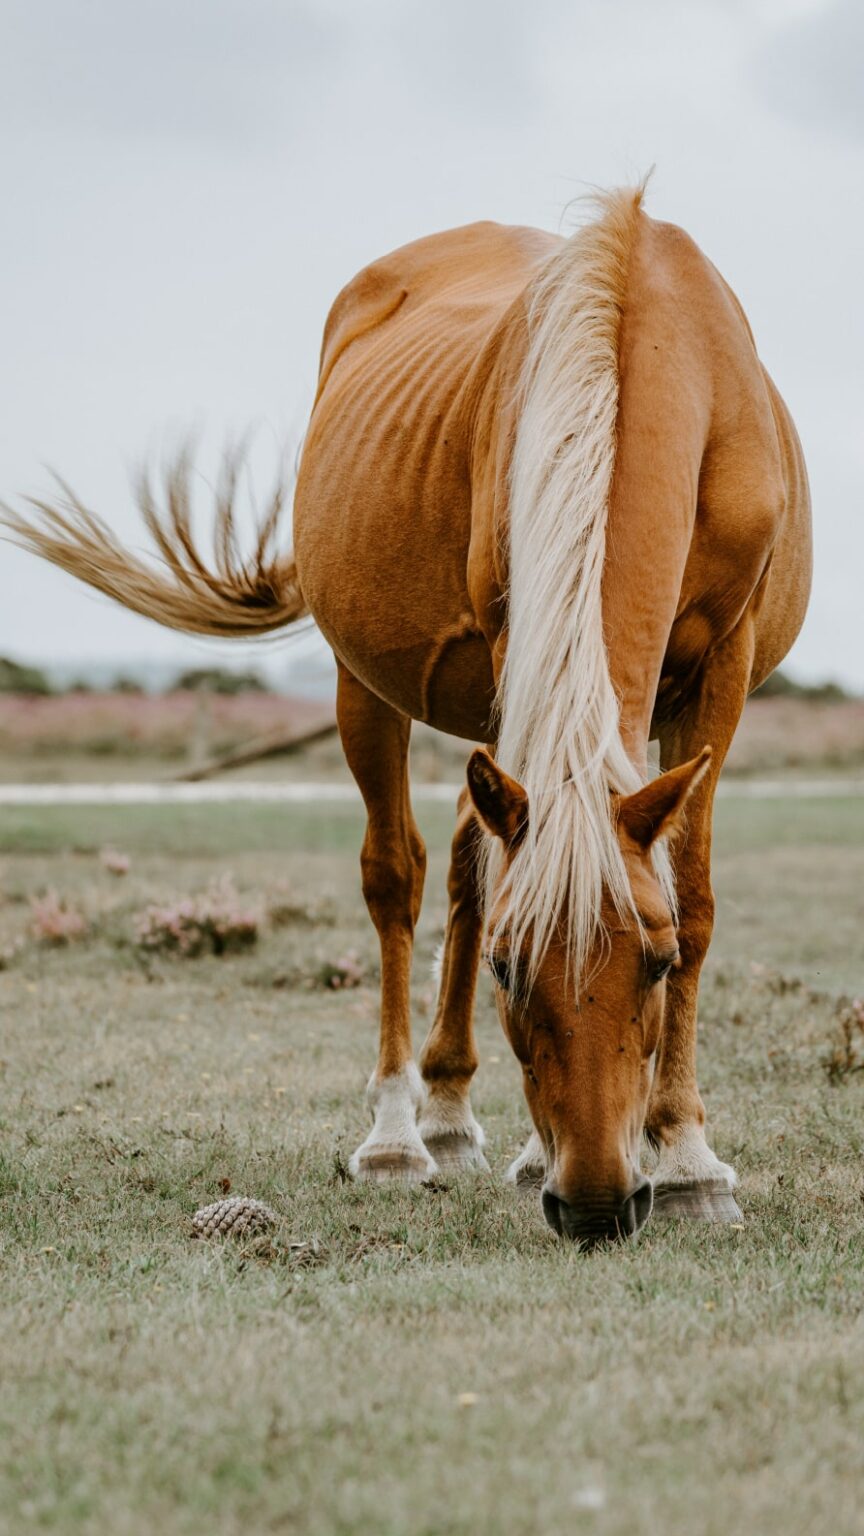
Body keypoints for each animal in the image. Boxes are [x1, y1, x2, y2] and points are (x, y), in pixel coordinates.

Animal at [2, 183, 811, 1247]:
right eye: (509, 969)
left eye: (657, 960)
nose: (596, 1204)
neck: (647, 343)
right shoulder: (516, 639)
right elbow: (471, 881)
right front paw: (550, 1148)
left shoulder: (721, 668)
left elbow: (698, 894)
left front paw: (685, 1160)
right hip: (369, 684)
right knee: (403, 875)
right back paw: (404, 1130)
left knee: (473, 848)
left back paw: (466, 1119)